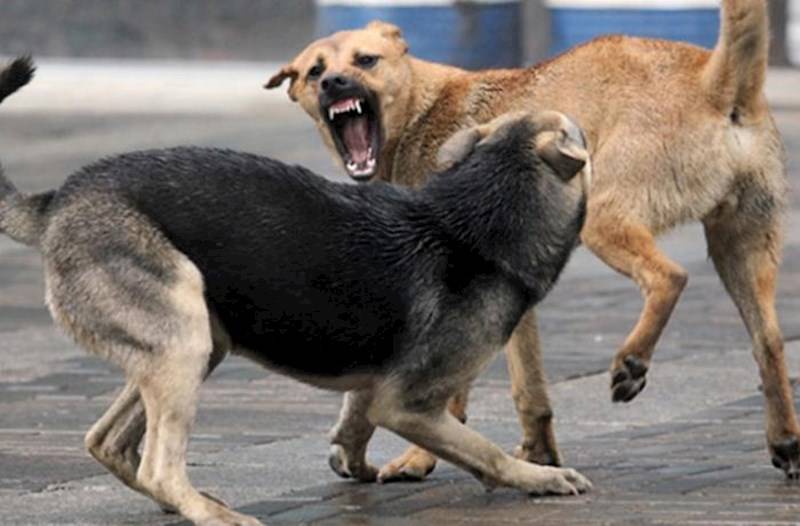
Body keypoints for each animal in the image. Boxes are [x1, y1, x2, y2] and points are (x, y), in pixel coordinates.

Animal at [1, 58, 592, 526]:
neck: (476, 217)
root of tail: (58, 201)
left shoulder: (377, 387)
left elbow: (356, 423)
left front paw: (355, 464)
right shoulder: (407, 404)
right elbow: (483, 450)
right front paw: (539, 477)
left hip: (195, 343)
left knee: (107, 440)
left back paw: (183, 501)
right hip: (183, 340)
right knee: (159, 465)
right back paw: (211, 514)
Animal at [268, 0, 800, 484]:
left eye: (366, 61)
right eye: (315, 71)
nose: (333, 83)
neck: (423, 109)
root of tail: (716, 80)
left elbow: (449, 393)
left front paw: (419, 458)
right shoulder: (513, 297)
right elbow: (529, 388)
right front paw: (539, 456)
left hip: (606, 218)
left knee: (670, 276)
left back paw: (632, 362)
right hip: (743, 247)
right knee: (769, 343)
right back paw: (785, 441)